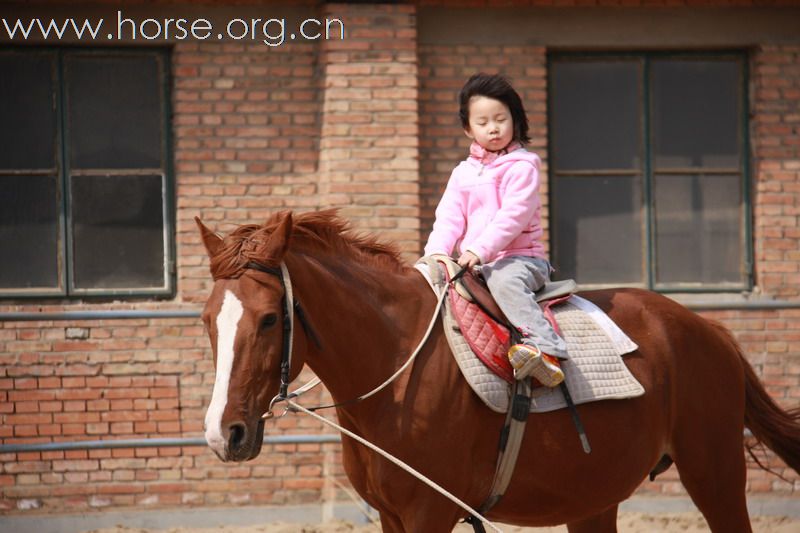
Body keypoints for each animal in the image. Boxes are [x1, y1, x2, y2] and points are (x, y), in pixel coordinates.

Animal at [195, 210, 800, 528]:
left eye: (270, 318)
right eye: (206, 319)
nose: (226, 434)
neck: (397, 367)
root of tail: (709, 332)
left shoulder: (429, 513)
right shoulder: (391, 516)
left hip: (715, 475)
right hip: (597, 499)